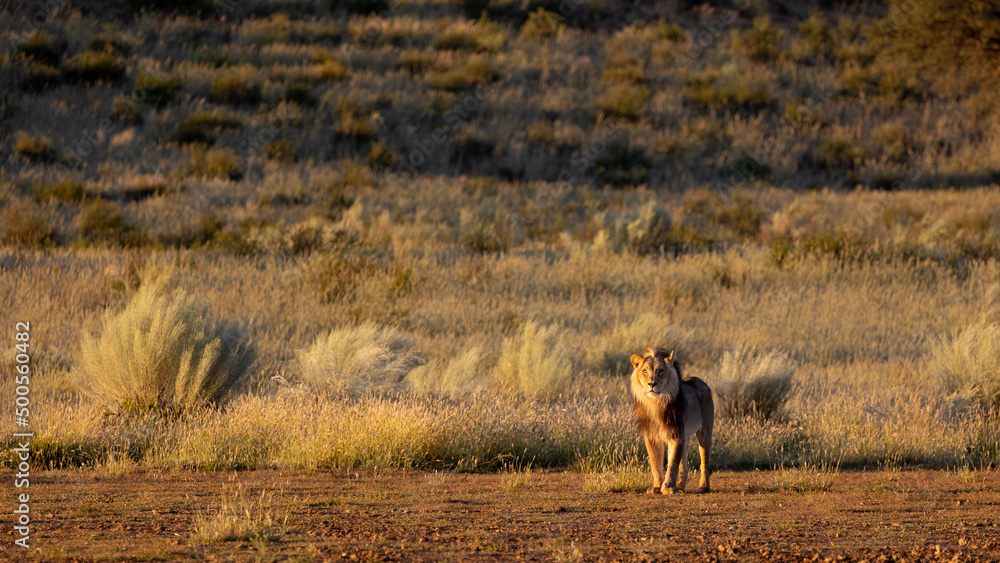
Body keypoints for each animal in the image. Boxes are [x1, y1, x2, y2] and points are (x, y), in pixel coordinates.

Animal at [629, 347, 714, 494]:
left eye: (661, 371)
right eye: (644, 371)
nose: (652, 384)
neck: (656, 403)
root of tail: (700, 380)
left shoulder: (676, 435)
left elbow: (672, 463)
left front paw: (668, 488)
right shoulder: (651, 437)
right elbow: (656, 464)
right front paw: (657, 487)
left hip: (705, 432)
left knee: (705, 462)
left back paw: (703, 486)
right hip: (686, 437)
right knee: (684, 465)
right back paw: (680, 486)